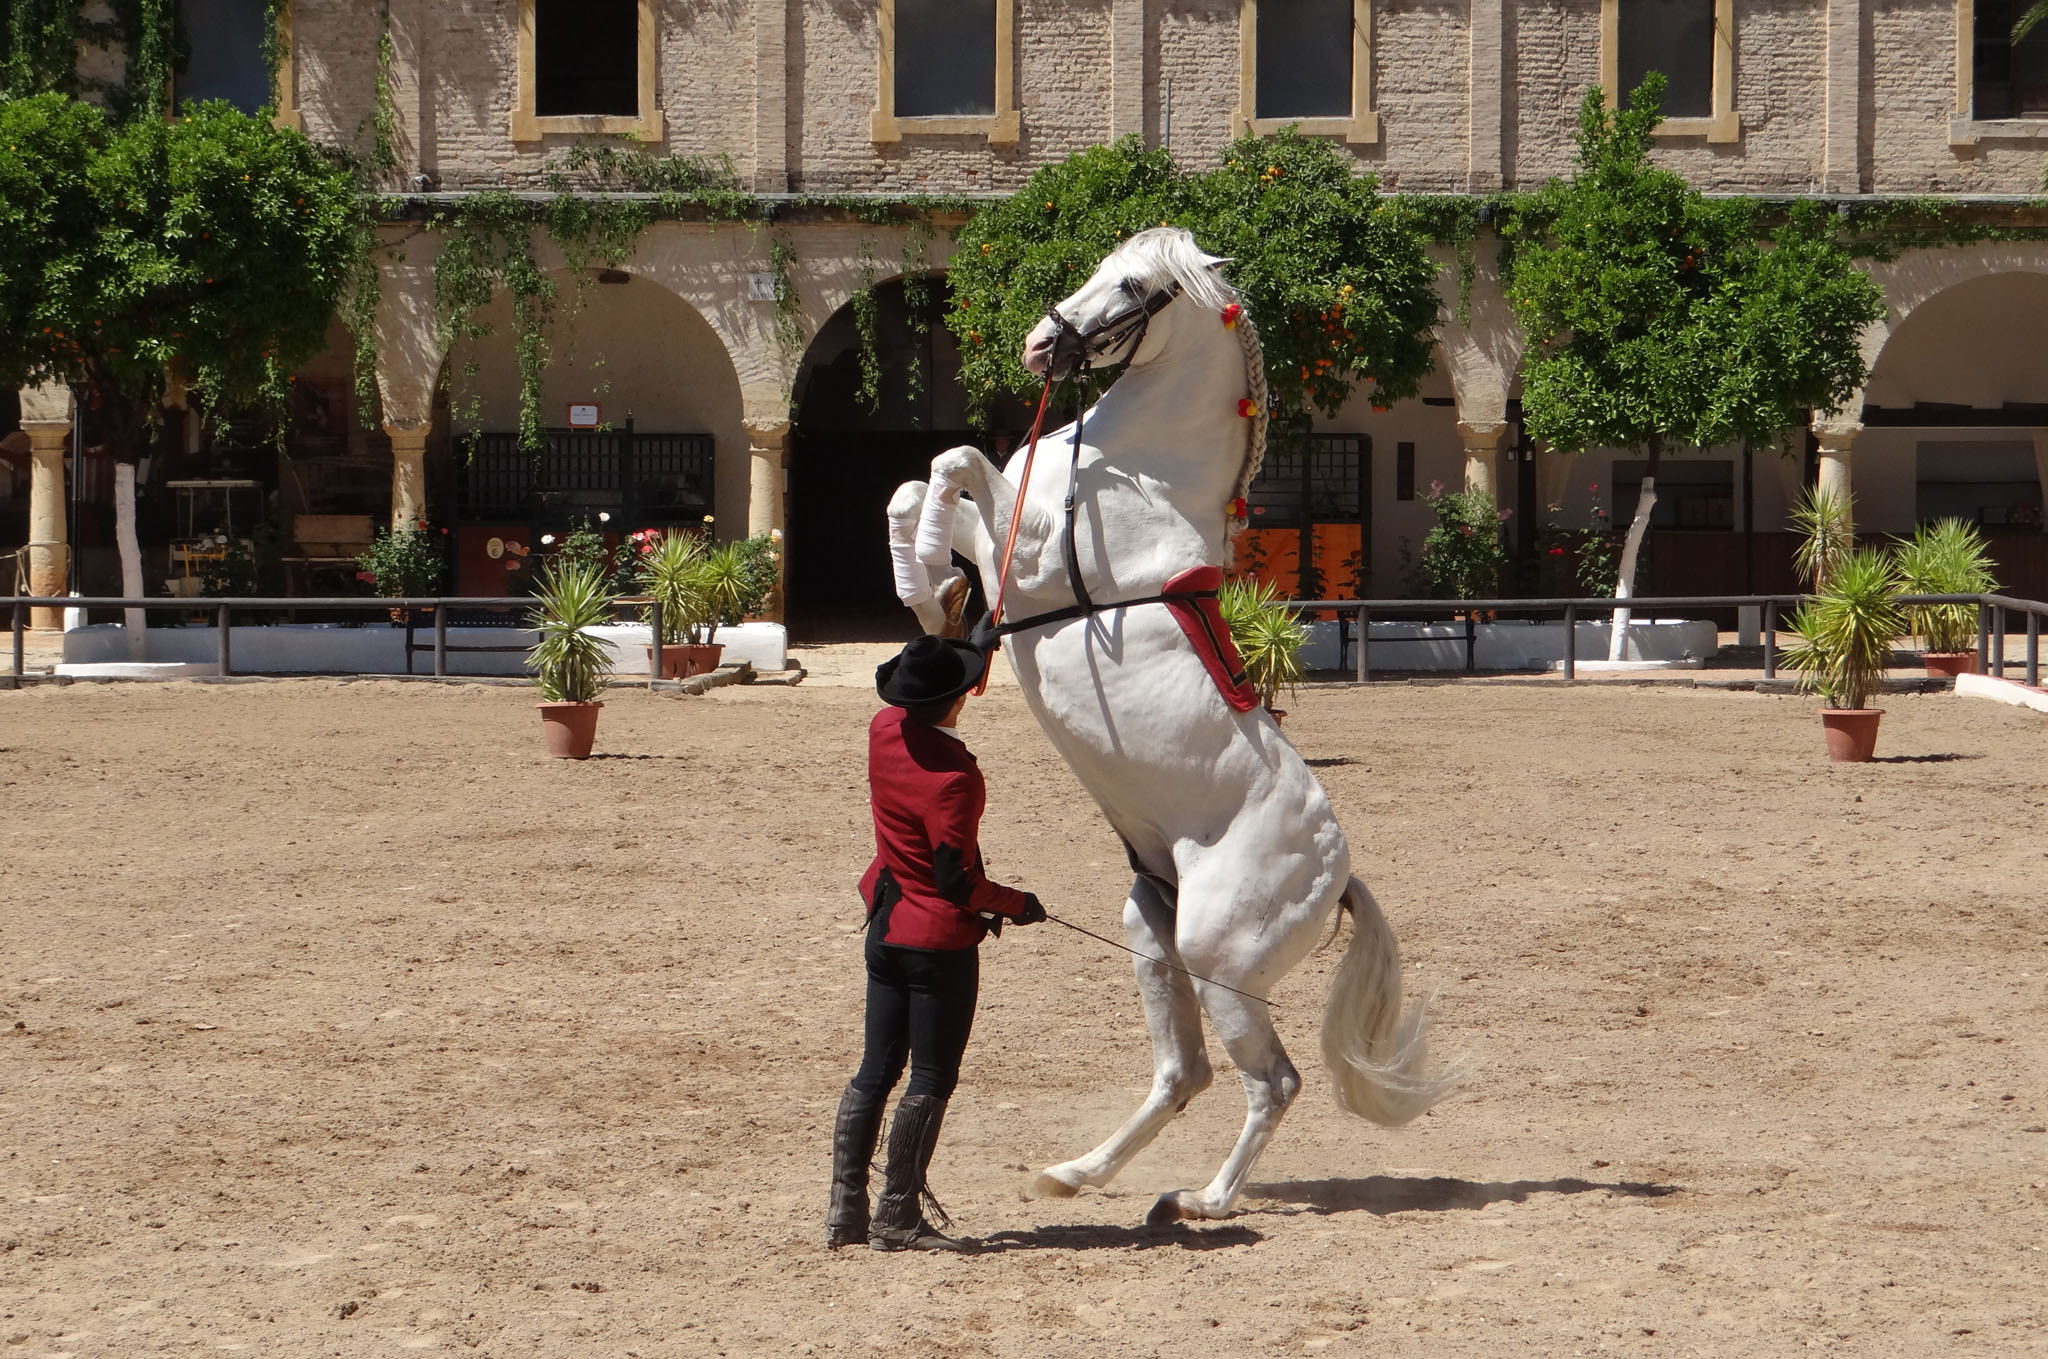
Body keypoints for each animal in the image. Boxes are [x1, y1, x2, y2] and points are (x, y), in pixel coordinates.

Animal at [884, 227, 1460, 1225]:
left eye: (1132, 286)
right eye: (1097, 263)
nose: (1041, 345)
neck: (1134, 474)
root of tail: (1338, 878)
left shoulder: (1028, 555)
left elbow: (953, 463)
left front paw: (930, 590)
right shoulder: (1003, 536)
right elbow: (916, 488)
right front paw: (930, 588)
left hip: (1216, 958)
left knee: (1274, 1080)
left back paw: (1204, 1199)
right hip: (1151, 931)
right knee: (1183, 1073)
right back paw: (1077, 1172)